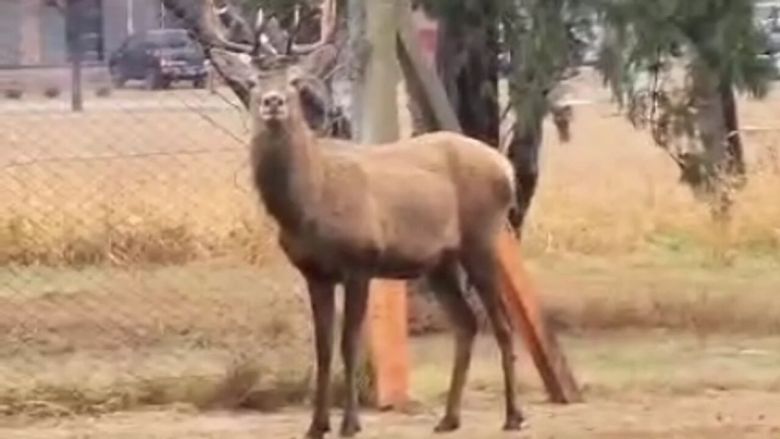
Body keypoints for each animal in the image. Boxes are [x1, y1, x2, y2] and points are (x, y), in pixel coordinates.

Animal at [165, 1, 532, 438]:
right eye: (252, 82)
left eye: (297, 81)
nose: (273, 101)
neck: (310, 206)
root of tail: (505, 168)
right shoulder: (314, 272)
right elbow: (322, 348)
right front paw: (316, 424)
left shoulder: (360, 261)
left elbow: (349, 342)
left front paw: (350, 424)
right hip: (438, 262)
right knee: (467, 322)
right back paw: (448, 418)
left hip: (482, 238)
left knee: (502, 323)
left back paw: (513, 415)